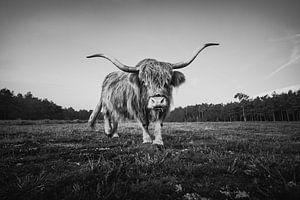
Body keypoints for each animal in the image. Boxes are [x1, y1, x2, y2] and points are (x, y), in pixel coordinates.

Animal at [86, 43, 218, 145]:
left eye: (167, 81)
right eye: (144, 82)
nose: (157, 101)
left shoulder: (164, 107)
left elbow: (158, 123)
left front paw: (158, 141)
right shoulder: (137, 107)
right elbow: (144, 123)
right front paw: (147, 139)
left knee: (115, 117)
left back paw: (115, 134)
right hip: (106, 102)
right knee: (106, 114)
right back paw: (109, 131)